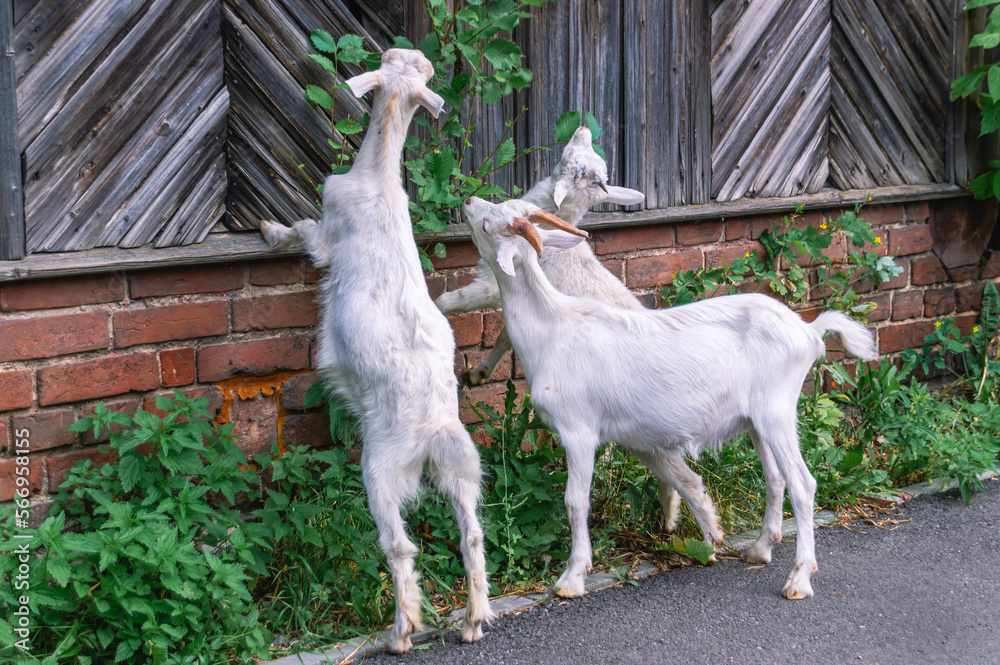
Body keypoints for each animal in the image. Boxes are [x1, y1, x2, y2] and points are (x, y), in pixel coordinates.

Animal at [260, 49, 493, 652]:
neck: (378, 174)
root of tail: (432, 428)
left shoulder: (325, 230)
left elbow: (301, 231)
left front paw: (268, 227)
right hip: (464, 464)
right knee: (472, 535)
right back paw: (473, 621)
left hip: (381, 471)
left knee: (400, 545)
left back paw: (400, 632)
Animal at [460, 196, 878, 601]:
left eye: (488, 225)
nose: (468, 201)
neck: (552, 329)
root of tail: (809, 331)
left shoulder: (578, 430)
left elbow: (575, 501)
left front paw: (572, 577)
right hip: (757, 421)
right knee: (776, 477)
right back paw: (759, 549)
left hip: (775, 412)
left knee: (802, 484)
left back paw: (799, 579)